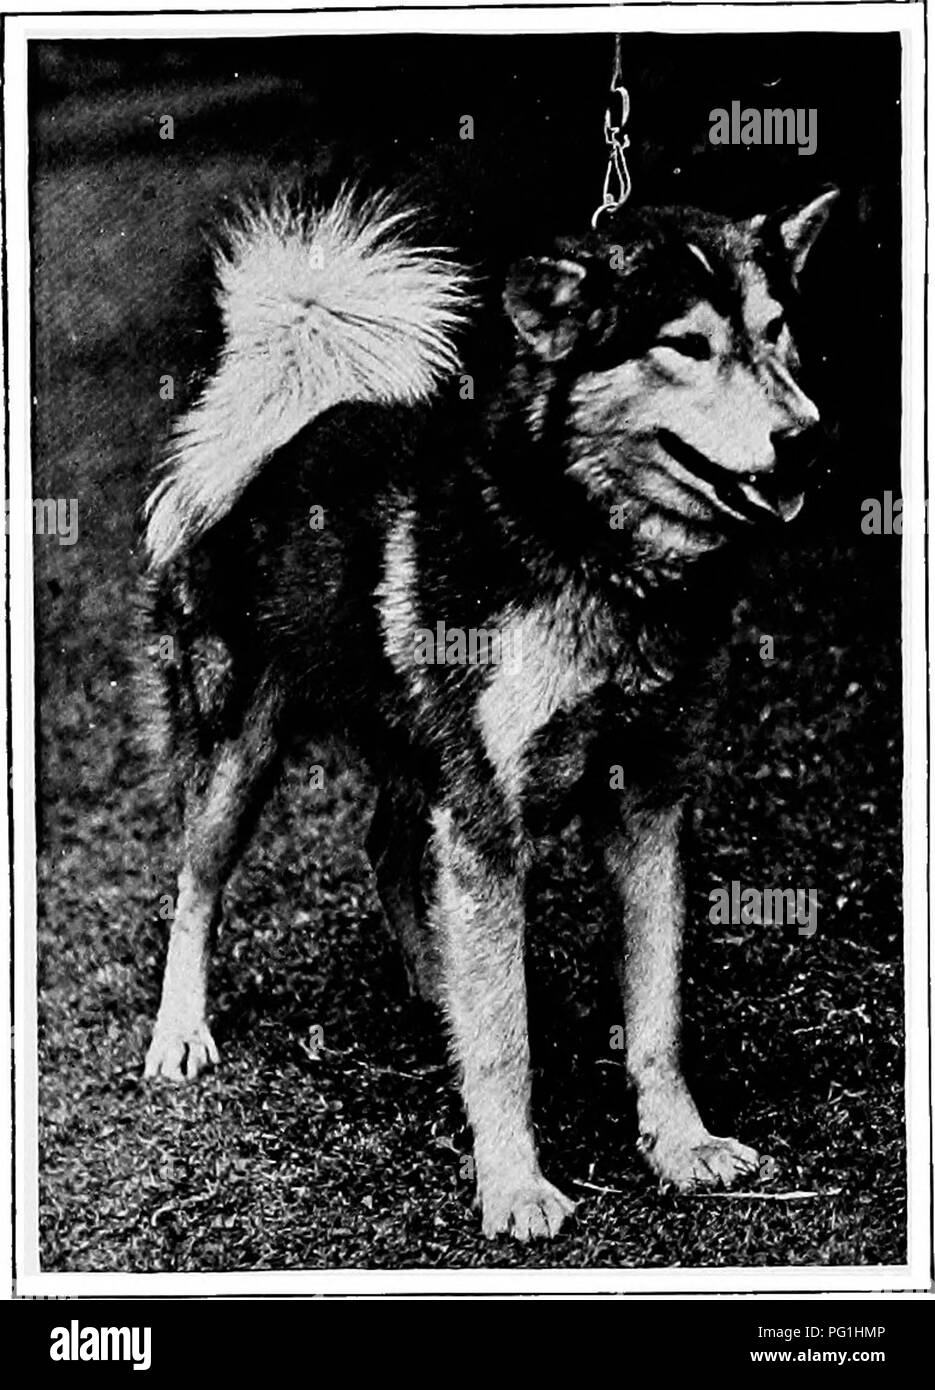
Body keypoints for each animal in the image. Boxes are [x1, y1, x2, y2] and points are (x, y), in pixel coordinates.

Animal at [140, 184, 836, 1240]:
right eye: (683, 344)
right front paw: (513, 1184)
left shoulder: (649, 807)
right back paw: (181, 1032)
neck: (592, 550)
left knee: (391, 853)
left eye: (776, 329)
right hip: (239, 751)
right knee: (195, 887)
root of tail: (287, 426)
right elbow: (506, 1040)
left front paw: (678, 1144)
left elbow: (656, 1014)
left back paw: (438, 987)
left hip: (416, 756)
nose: (803, 436)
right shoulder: (487, 818)